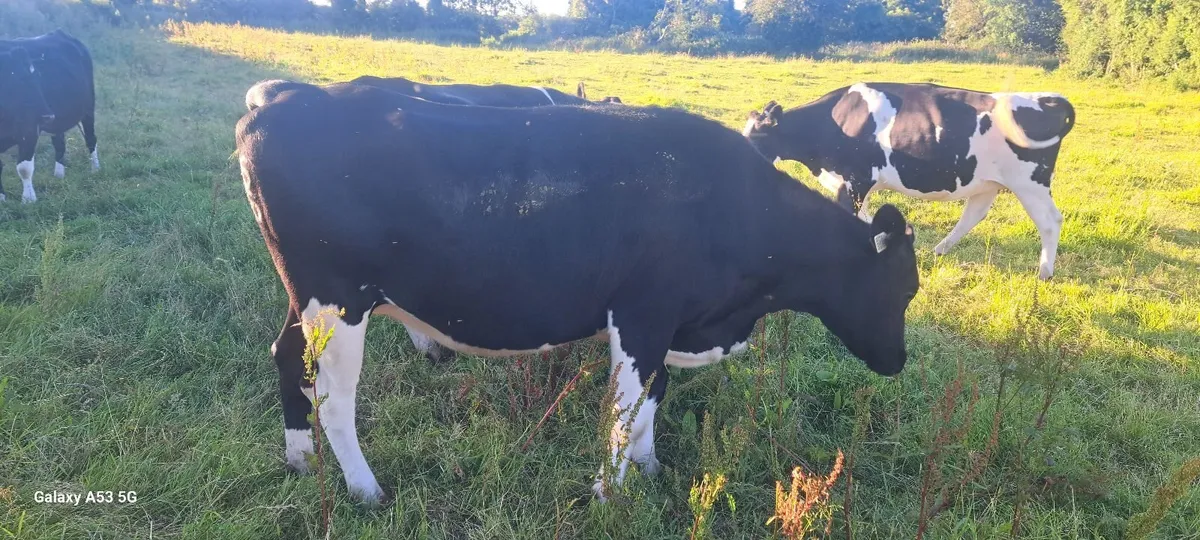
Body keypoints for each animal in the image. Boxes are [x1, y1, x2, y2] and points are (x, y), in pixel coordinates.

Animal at [0, 30, 99, 203]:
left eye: (36, 77)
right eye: (14, 79)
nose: (47, 115)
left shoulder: (29, 130)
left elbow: (24, 168)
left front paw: (29, 200)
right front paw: (1, 198)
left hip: (88, 109)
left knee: (91, 138)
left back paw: (95, 169)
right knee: (60, 144)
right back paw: (59, 176)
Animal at [236, 81, 920, 505]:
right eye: (905, 288)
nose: (898, 362)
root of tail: (282, 98)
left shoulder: (668, 324)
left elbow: (650, 402)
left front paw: (648, 469)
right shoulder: (642, 316)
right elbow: (624, 410)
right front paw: (607, 494)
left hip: (308, 302)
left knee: (286, 358)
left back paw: (300, 460)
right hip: (337, 303)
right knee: (333, 400)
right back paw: (365, 491)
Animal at [743, 82, 1075, 280]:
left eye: (755, 136)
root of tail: (1047, 98)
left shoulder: (856, 180)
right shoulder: (856, 185)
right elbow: (868, 222)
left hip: (1030, 183)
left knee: (1050, 221)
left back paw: (1045, 271)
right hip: (988, 181)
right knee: (973, 214)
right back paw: (940, 250)